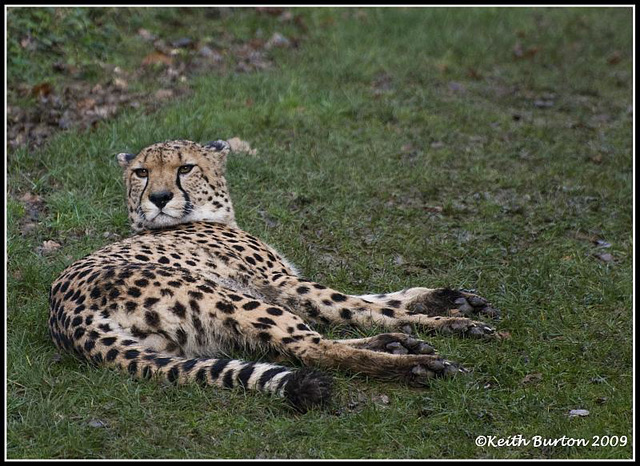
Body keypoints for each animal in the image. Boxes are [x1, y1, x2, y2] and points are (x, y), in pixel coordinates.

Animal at [48, 138, 500, 412]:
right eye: (142, 172)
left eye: (186, 168)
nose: (159, 198)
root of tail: (64, 315)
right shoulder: (281, 285)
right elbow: (362, 306)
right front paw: (455, 323)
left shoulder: (283, 286)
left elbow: (377, 300)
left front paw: (451, 300)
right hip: (224, 296)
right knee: (311, 348)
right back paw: (416, 364)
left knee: (297, 344)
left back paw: (396, 344)